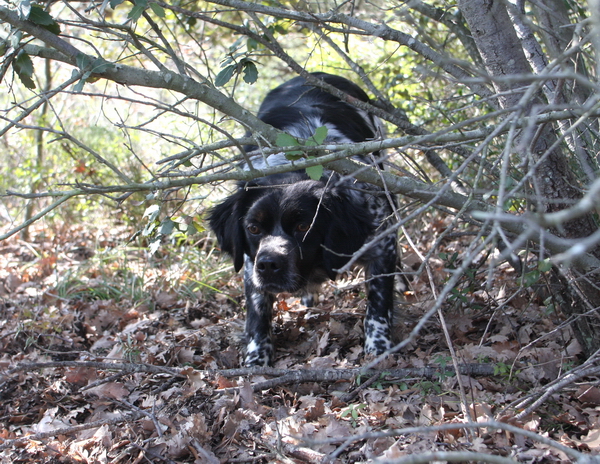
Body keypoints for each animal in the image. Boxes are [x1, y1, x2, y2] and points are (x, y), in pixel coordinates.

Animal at [207, 72, 398, 366]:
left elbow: (378, 306)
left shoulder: (382, 244)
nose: (268, 265)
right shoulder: (250, 266)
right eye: (253, 228)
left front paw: (379, 348)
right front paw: (256, 359)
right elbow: (257, 314)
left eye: (303, 226)